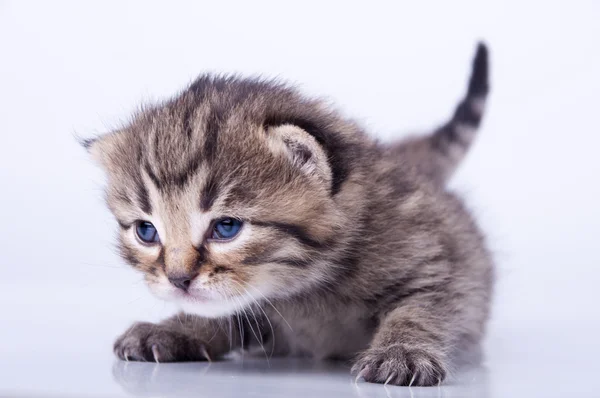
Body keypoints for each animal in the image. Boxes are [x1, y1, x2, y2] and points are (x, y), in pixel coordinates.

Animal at [88, 43, 492, 386]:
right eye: (146, 231)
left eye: (226, 227)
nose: (177, 279)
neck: (308, 288)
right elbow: (230, 313)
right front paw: (178, 328)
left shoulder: (435, 262)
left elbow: (421, 308)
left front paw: (402, 351)